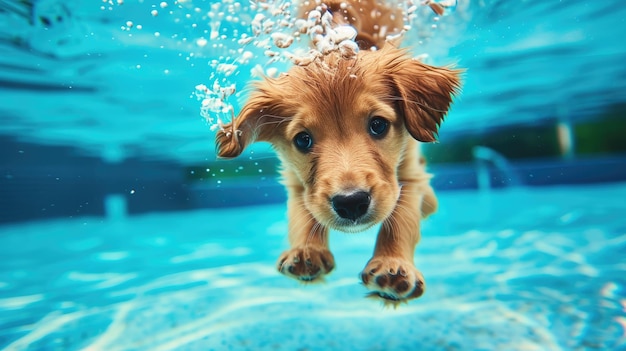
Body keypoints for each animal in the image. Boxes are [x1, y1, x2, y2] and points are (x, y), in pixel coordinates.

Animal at [214, 0, 458, 306]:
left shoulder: (411, 173)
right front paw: (306, 251)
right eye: (303, 140)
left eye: (378, 125)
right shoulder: (296, 181)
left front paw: (393, 266)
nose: (351, 203)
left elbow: (402, 218)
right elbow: (302, 212)